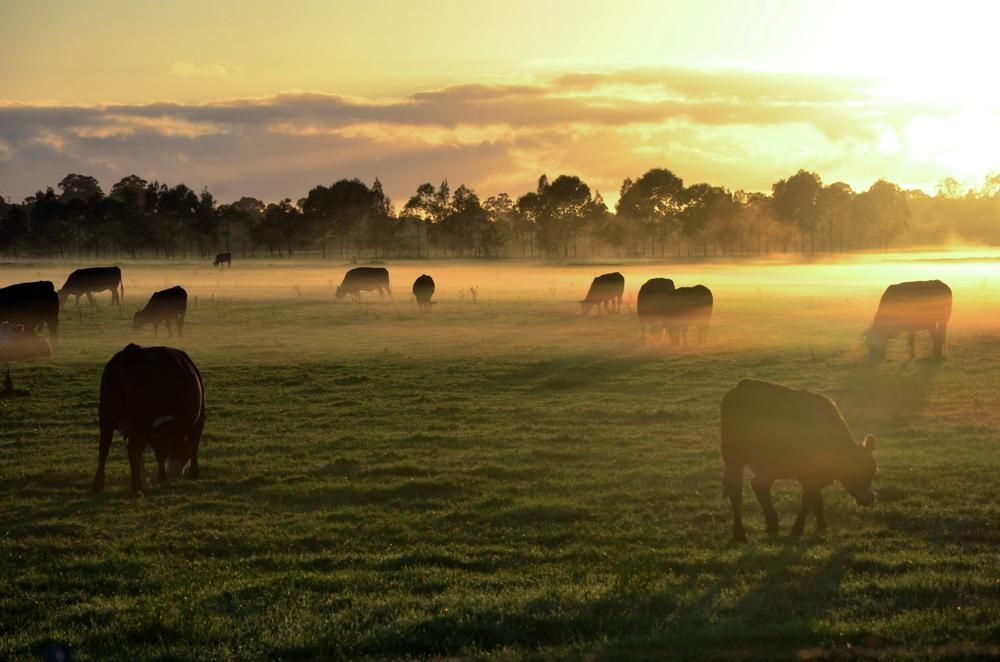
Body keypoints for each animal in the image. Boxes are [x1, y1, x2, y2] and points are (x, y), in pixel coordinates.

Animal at [92, 344, 205, 493]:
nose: (176, 473)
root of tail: (131, 351)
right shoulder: (198, 420)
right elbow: (193, 446)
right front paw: (194, 474)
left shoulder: (154, 433)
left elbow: (159, 453)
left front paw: (162, 476)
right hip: (138, 422)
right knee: (132, 447)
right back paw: (136, 486)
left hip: (107, 417)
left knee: (104, 447)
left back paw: (98, 484)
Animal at [721, 379, 877, 542]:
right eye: (859, 472)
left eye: (873, 470)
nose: (870, 498)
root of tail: (743, 385)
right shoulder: (807, 474)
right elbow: (810, 498)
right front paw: (799, 528)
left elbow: (815, 498)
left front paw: (820, 524)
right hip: (737, 459)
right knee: (738, 492)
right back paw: (740, 533)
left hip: (767, 465)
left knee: (758, 485)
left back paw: (771, 524)